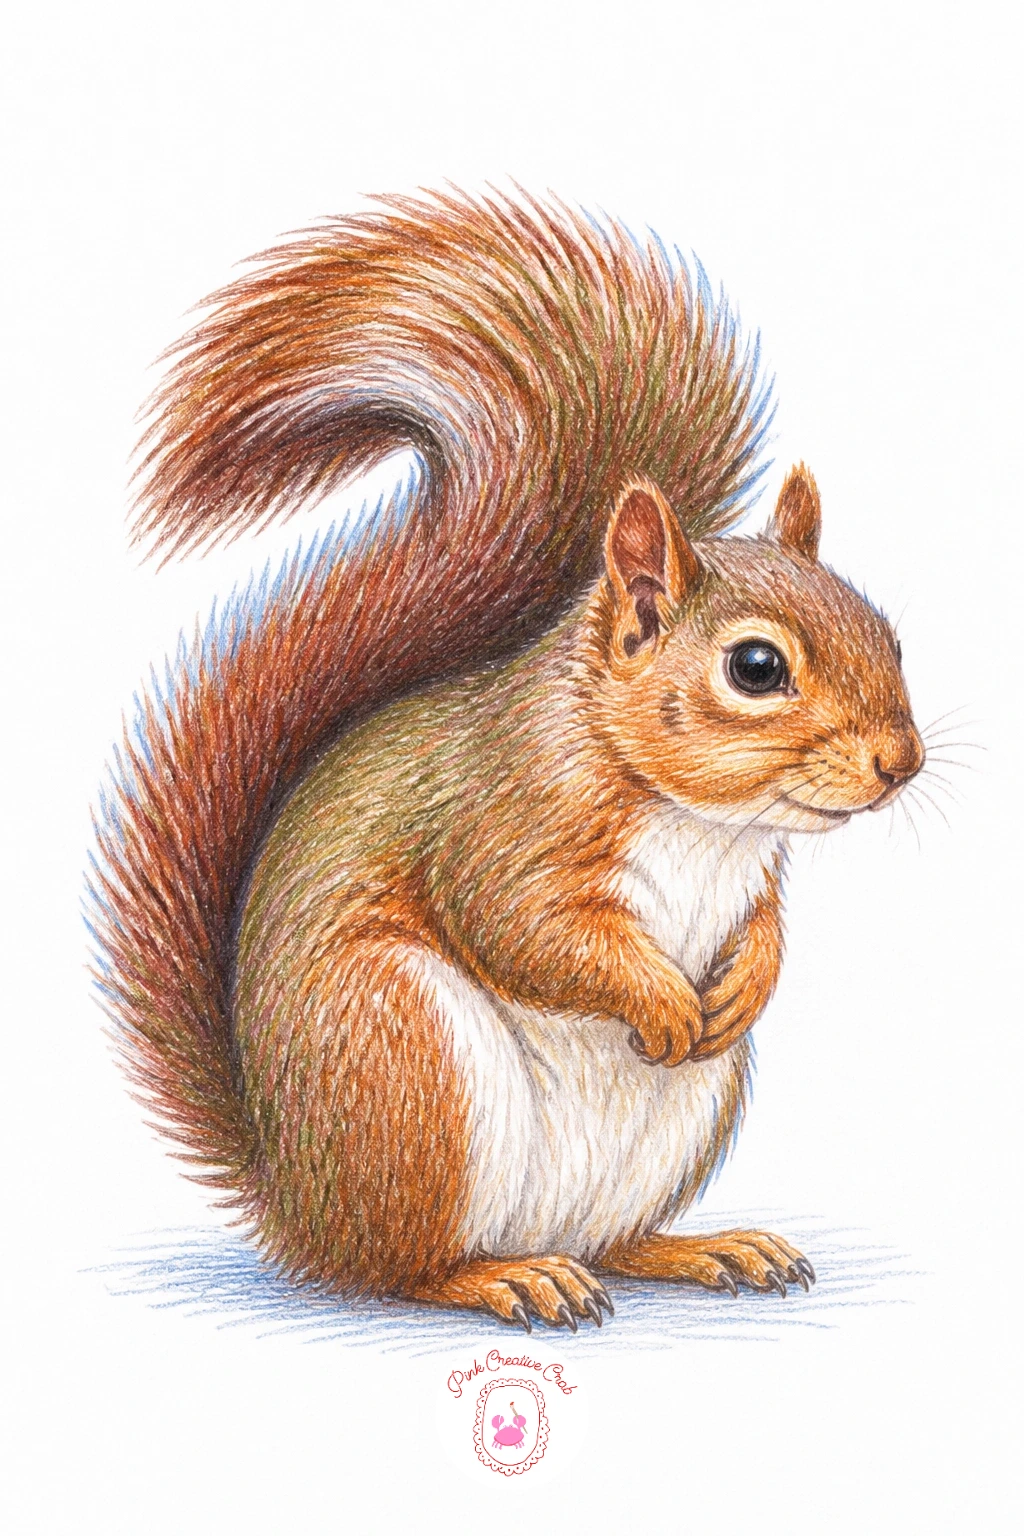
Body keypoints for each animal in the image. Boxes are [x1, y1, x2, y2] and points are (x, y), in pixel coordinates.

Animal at [90, 188, 925, 1332]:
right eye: (756, 667)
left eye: (888, 634)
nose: (902, 761)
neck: (701, 821)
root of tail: (298, 1205)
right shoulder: (504, 821)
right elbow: (523, 927)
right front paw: (663, 1001)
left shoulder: (754, 876)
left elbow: (761, 929)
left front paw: (742, 986)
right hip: (406, 1066)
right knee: (401, 1269)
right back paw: (502, 1276)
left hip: (674, 1122)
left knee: (613, 1242)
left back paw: (701, 1248)